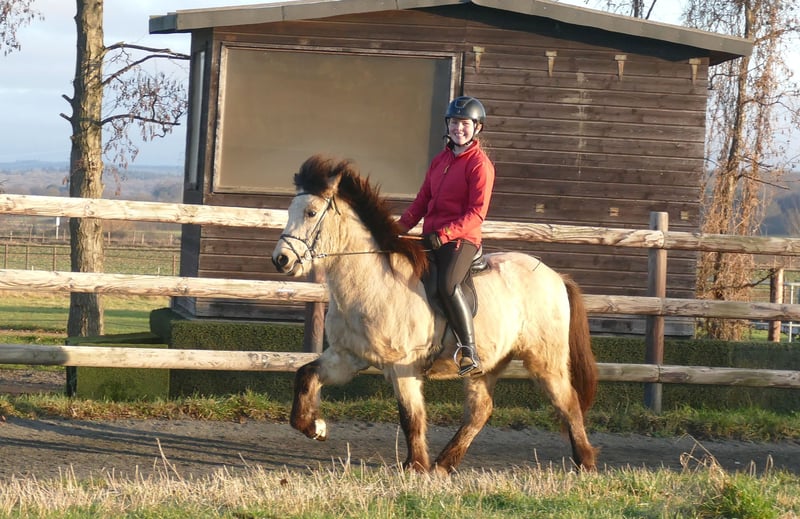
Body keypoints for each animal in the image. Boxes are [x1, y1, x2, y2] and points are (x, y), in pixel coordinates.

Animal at [271, 155, 598, 473]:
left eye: (311, 212)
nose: (281, 260)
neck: (373, 282)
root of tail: (556, 277)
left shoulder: (403, 365)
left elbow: (410, 416)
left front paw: (414, 466)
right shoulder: (348, 356)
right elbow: (306, 374)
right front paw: (316, 427)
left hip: (544, 360)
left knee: (567, 402)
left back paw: (585, 462)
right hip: (488, 364)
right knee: (480, 411)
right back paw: (443, 464)